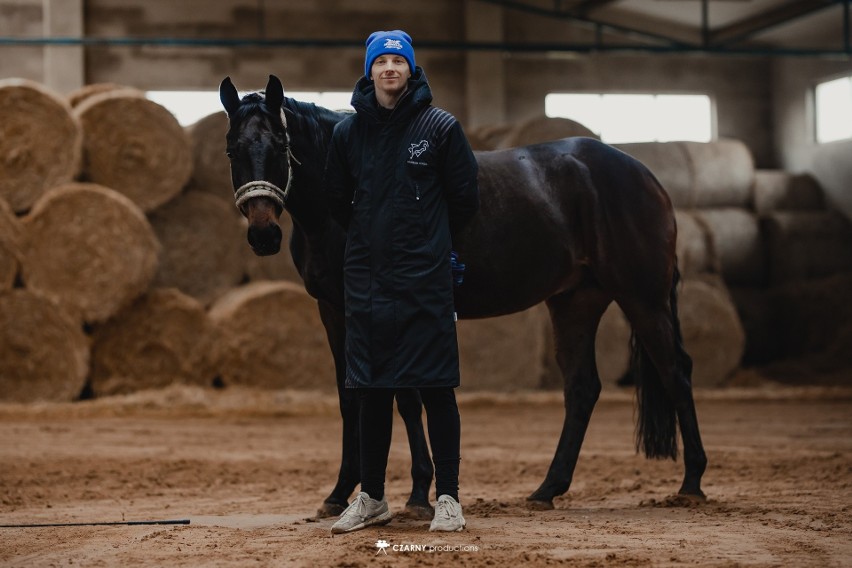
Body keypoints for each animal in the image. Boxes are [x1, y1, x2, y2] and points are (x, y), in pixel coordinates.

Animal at [218, 74, 704, 516]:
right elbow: (349, 398)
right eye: (232, 150)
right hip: (576, 302)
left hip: (643, 299)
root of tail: (645, 176)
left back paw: (692, 483)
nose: (263, 234)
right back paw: (546, 489)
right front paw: (338, 496)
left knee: (676, 373)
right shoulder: (333, 310)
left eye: (280, 146)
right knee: (582, 388)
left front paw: (418, 495)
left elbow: (405, 400)